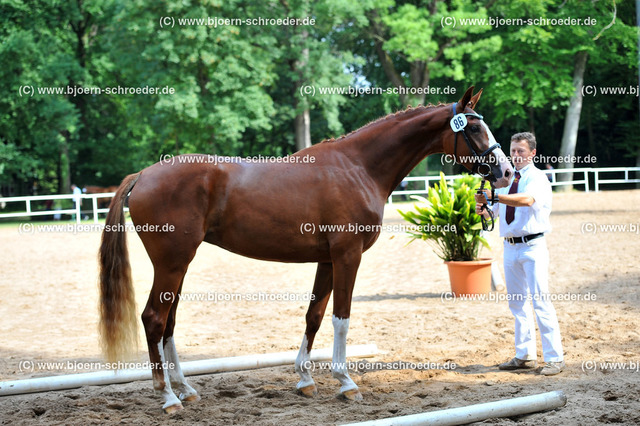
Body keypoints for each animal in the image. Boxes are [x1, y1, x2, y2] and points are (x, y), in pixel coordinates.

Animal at [97, 85, 512, 412]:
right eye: (474, 127)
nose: (506, 172)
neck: (359, 167)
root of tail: (144, 175)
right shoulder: (348, 256)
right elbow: (341, 317)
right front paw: (346, 383)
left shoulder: (327, 260)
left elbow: (314, 315)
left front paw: (305, 380)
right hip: (172, 263)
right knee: (153, 318)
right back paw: (168, 398)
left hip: (179, 264)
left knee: (168, 322)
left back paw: (185, 390)